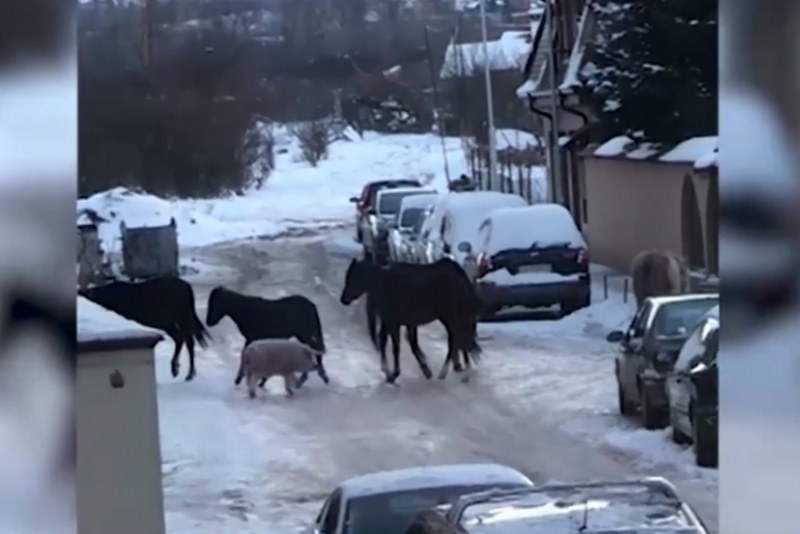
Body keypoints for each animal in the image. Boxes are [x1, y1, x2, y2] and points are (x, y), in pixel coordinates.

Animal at [78, 280, 208, 382]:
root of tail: (189, 290)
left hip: (174, 318)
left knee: (183, 339)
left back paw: (180, 370)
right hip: (176, 320)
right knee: (187, 340)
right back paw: (186, 372)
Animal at [340, 258, 482, 384]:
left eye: (352, 277)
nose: (343, 299)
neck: (383, 283)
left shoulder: (394, 323)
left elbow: (396, 347)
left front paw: (394, 373)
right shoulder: (394, 323)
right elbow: (394, 342)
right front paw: (391, 372)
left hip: (450, 317)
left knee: (456, 340)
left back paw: (448, 372)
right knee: (459, 339)